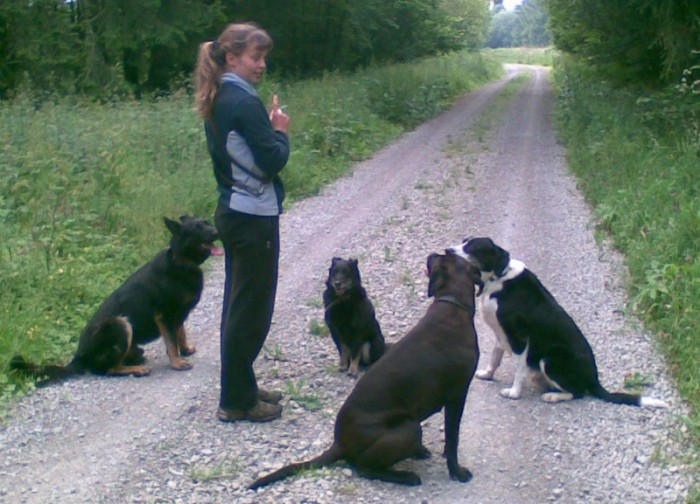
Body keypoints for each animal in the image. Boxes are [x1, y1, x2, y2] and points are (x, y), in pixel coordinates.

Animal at [12, 215, 223, 384]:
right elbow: (171, 342)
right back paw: (137, 369)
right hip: (120, 324)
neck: (182, 261)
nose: (217, 232)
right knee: (107, 370)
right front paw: (177, 363)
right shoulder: (165, 315)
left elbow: (180, 333)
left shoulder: (178, 315)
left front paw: (185, 349)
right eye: (197, 228)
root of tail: (79, 355)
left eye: (207, 223)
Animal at [249, 251, 484, 488]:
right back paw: (406, 475)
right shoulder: (457, 395)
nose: (433, 253)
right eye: (446, 254)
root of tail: (340, 443)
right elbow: (453, 441)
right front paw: (457, 472)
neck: (453, 305)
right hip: (410, 429)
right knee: (365, 469)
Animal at [448, 237, 668, 410]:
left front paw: (514, 393)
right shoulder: (501, 334)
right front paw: (487, 374)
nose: (448, 251)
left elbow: (519, 370)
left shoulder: (519, 337)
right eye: (463, 241)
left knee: (578, 393)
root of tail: (594, 380)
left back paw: (552, 396)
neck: (498, 278)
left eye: (472, 248)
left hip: (551, 359)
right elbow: (495, 357)